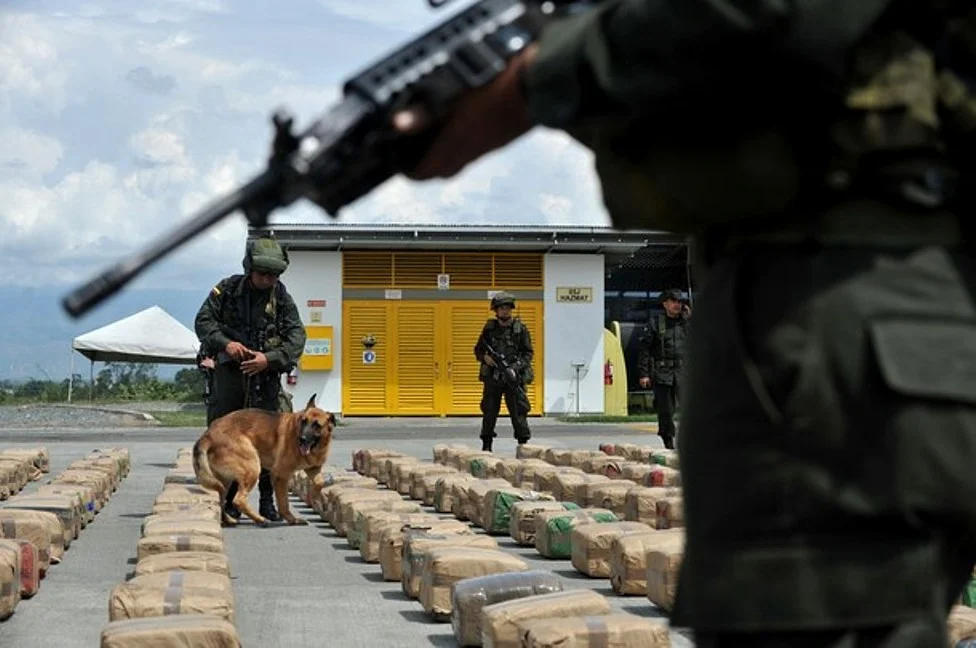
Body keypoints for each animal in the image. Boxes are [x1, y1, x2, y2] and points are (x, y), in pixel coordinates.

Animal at [191, 394, 336, 528]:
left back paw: (228, 520)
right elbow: (284, 503)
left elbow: (319, 483)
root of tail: (208, 434)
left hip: (226, 481)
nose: (301, 439)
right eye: (304, 421)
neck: (317, 446)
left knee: (221, 499)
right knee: (238, 500)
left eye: (317, 425)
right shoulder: (281, 476)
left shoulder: (313, 468)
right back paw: (260, 519)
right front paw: (292, 519)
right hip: (252, 468)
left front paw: (319, 500)